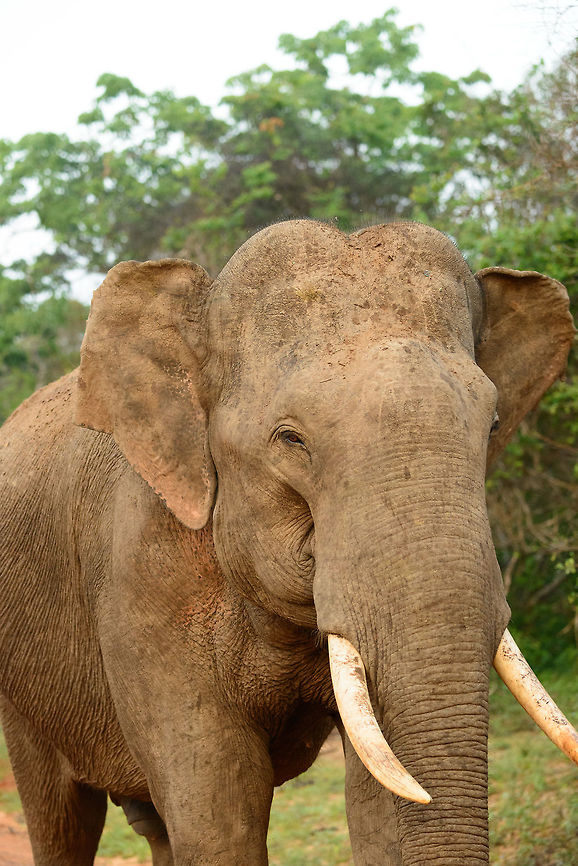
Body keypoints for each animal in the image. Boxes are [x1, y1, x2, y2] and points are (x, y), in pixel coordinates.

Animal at [0, 218, 577, 866]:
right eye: (290, 439)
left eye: (494, 424)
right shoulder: (143, 581)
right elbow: (219, 811)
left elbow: (377, 804)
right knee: (60, 819)